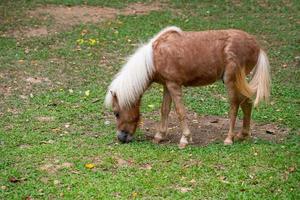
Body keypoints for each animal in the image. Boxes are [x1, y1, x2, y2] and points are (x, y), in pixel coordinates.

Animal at [104, 26, 270, 148]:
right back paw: (243, 134)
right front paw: (159, 136)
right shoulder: (167, 86)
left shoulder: (174, 85)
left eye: (116, 113)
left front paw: (185, 138)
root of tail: (257, 46)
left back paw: (229, 138)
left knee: (234, 106)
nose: (121, 137)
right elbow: (164, 110)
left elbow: (180, 111)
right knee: (247, 103)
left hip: (231, 81)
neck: (154, 57)